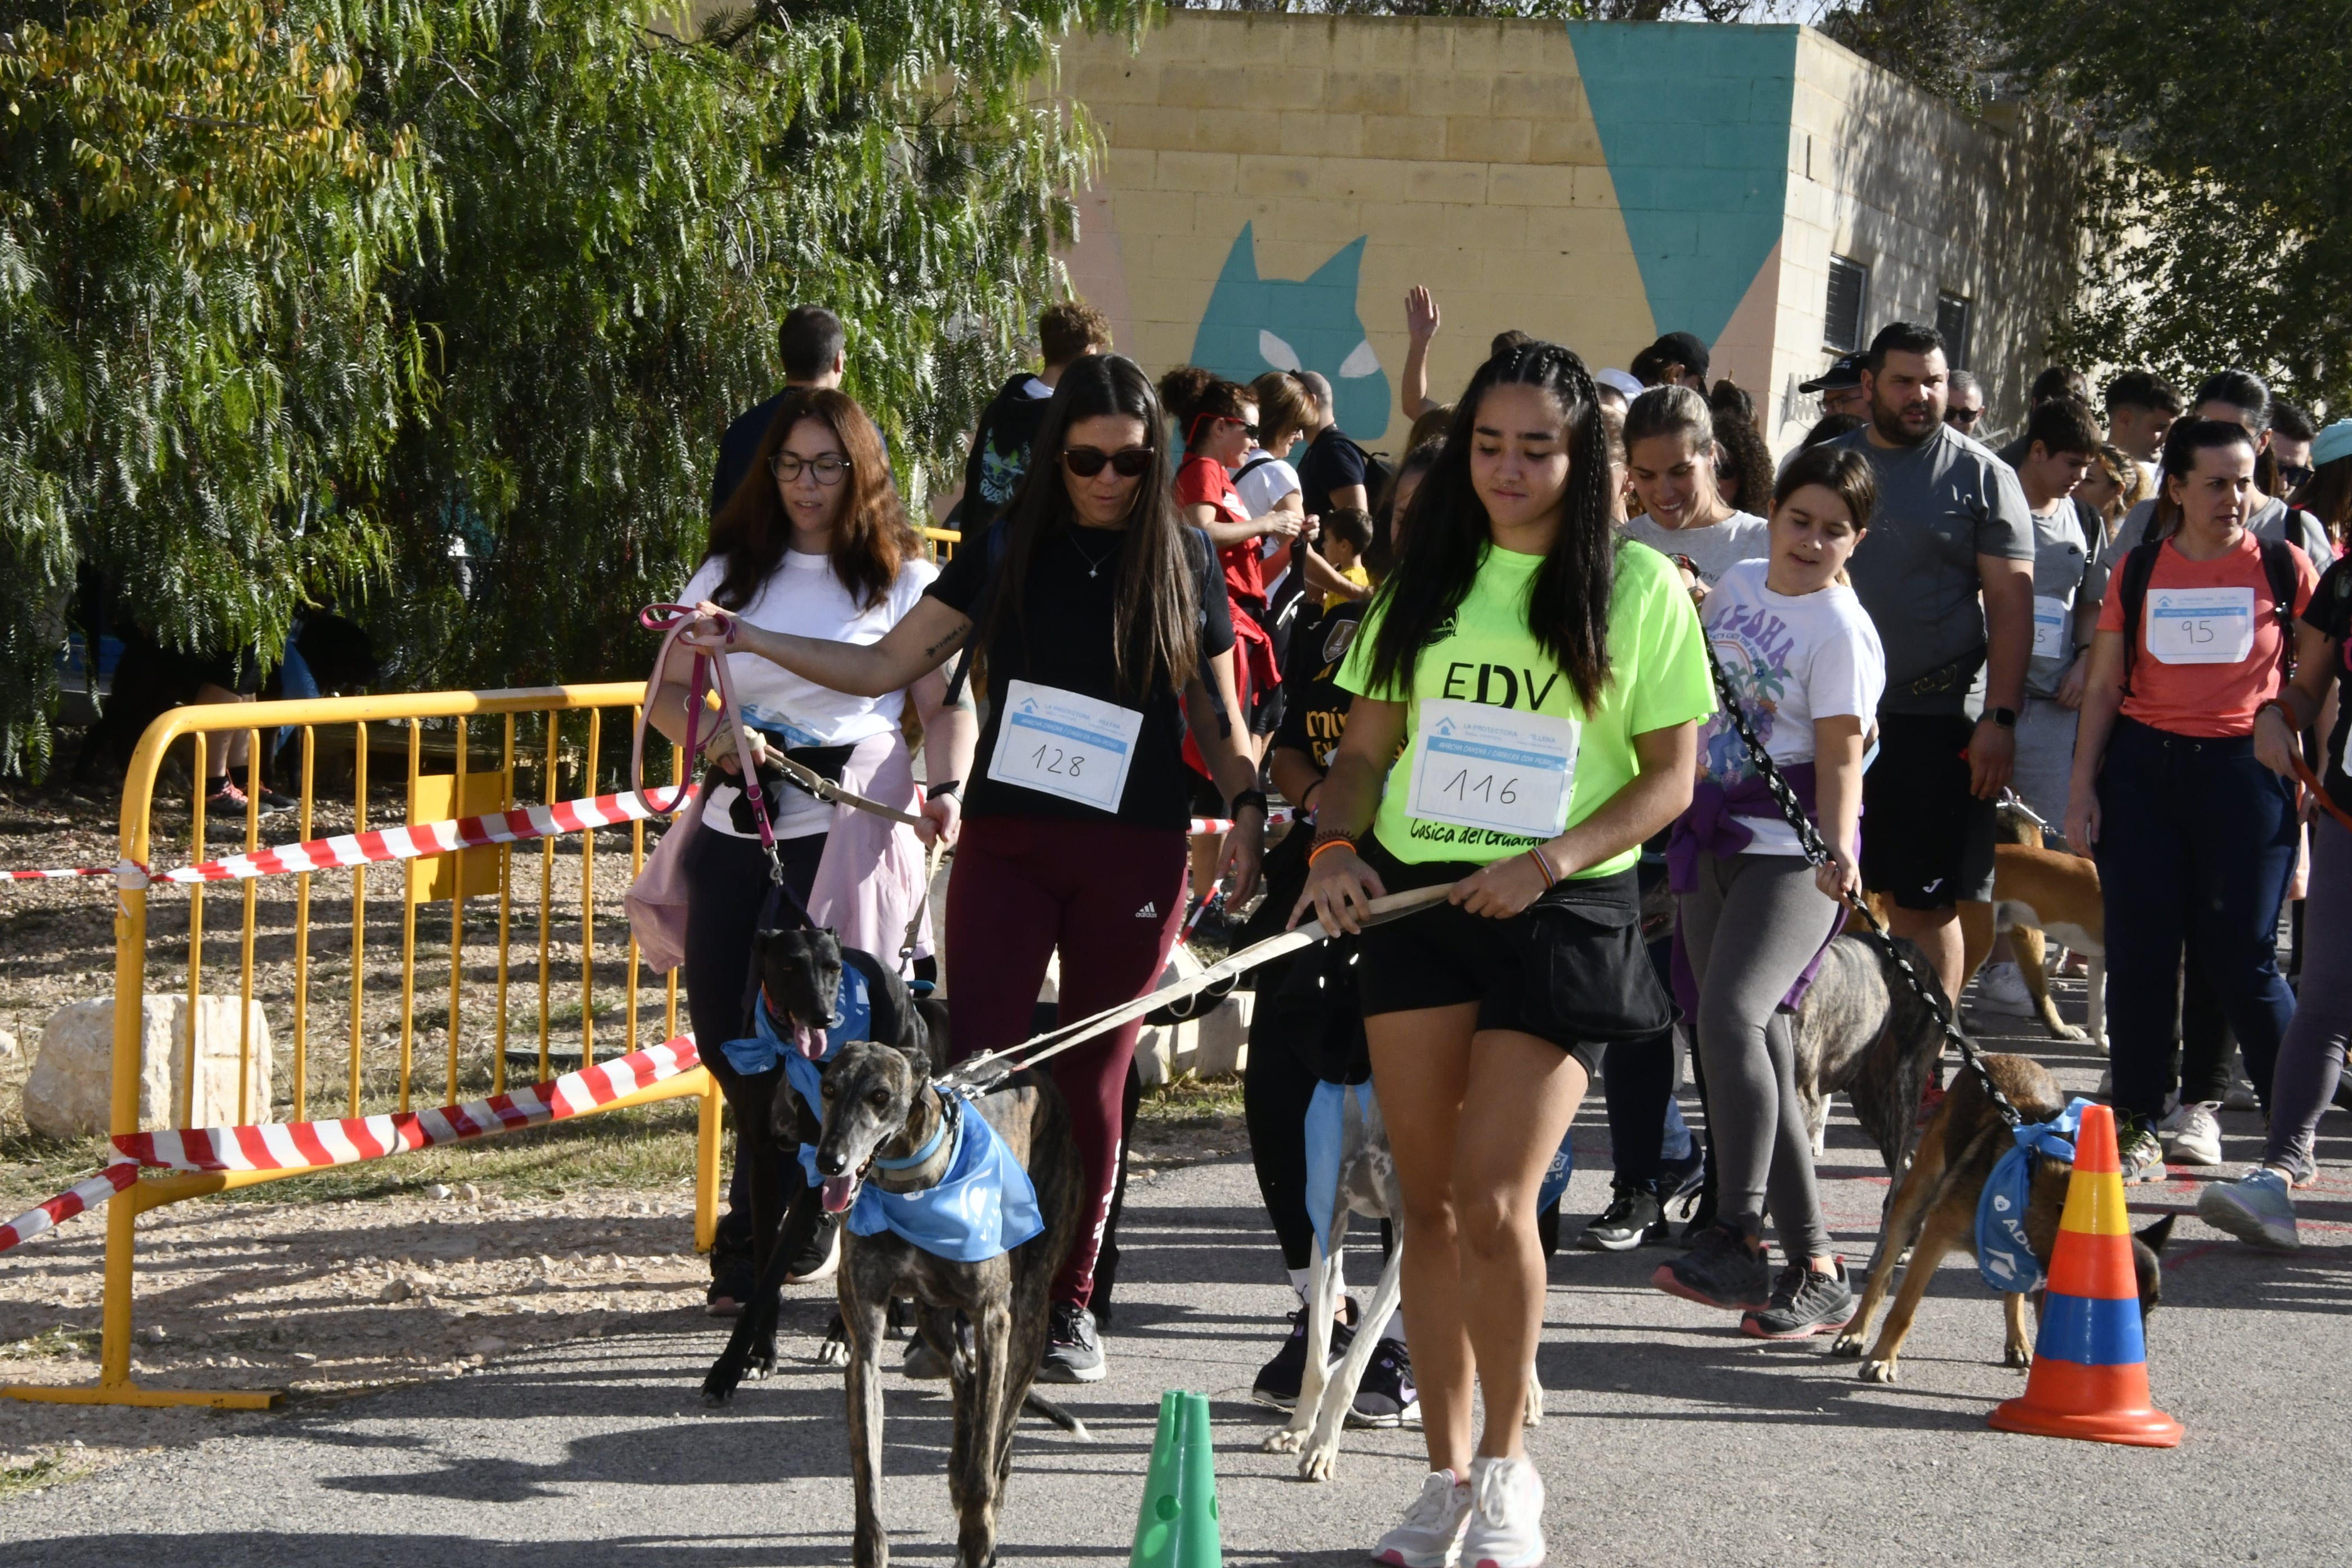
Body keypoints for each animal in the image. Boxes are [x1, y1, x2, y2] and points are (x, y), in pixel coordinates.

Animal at [1825, 1053, 2173, 1382]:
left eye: (2153, 1304)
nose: (2137, 1356)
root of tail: (1994, 1056)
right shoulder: (1934, 1239)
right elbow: (1903, 1311)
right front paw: (1883, 1359)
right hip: (1913, 1198)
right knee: (1882, 1276)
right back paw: (1855, 1333)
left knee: (2012, 1295)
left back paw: (2018, 1342)